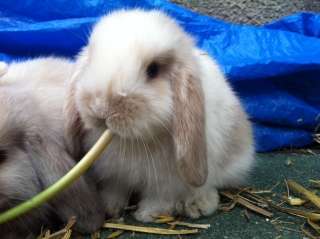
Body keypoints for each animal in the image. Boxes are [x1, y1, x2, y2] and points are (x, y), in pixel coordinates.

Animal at [65, 9, 255, 222]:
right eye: (90, 60)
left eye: (153, 70)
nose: (100, 108)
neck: (131, 142)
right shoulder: (115, 175)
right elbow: (115, 190)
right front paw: (110, 208)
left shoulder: (166, 183)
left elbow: (160, 198)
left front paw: (146, 214)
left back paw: (197, 205)